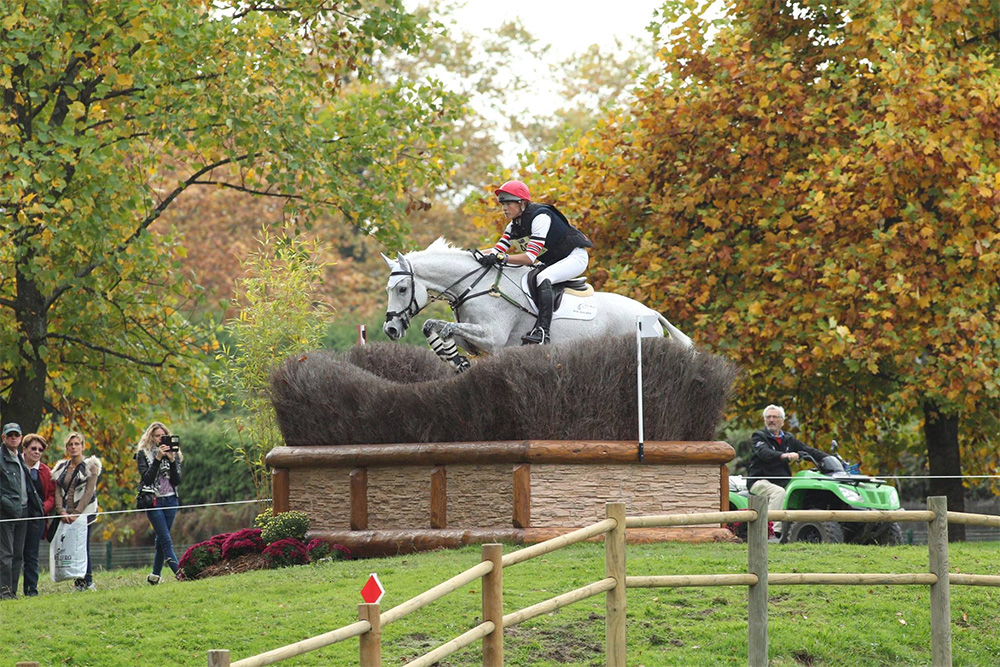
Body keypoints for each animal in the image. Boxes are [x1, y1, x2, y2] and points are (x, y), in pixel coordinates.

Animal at [378, 239, 692, 376]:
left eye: (402, 289)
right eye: (388, 290)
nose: (390, 328)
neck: (476, 285)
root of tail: (651, 313)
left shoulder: (491, 338)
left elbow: (441, 326)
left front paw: (454, 358)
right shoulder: (475, 339)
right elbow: (435, 326)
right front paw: (455, 359)